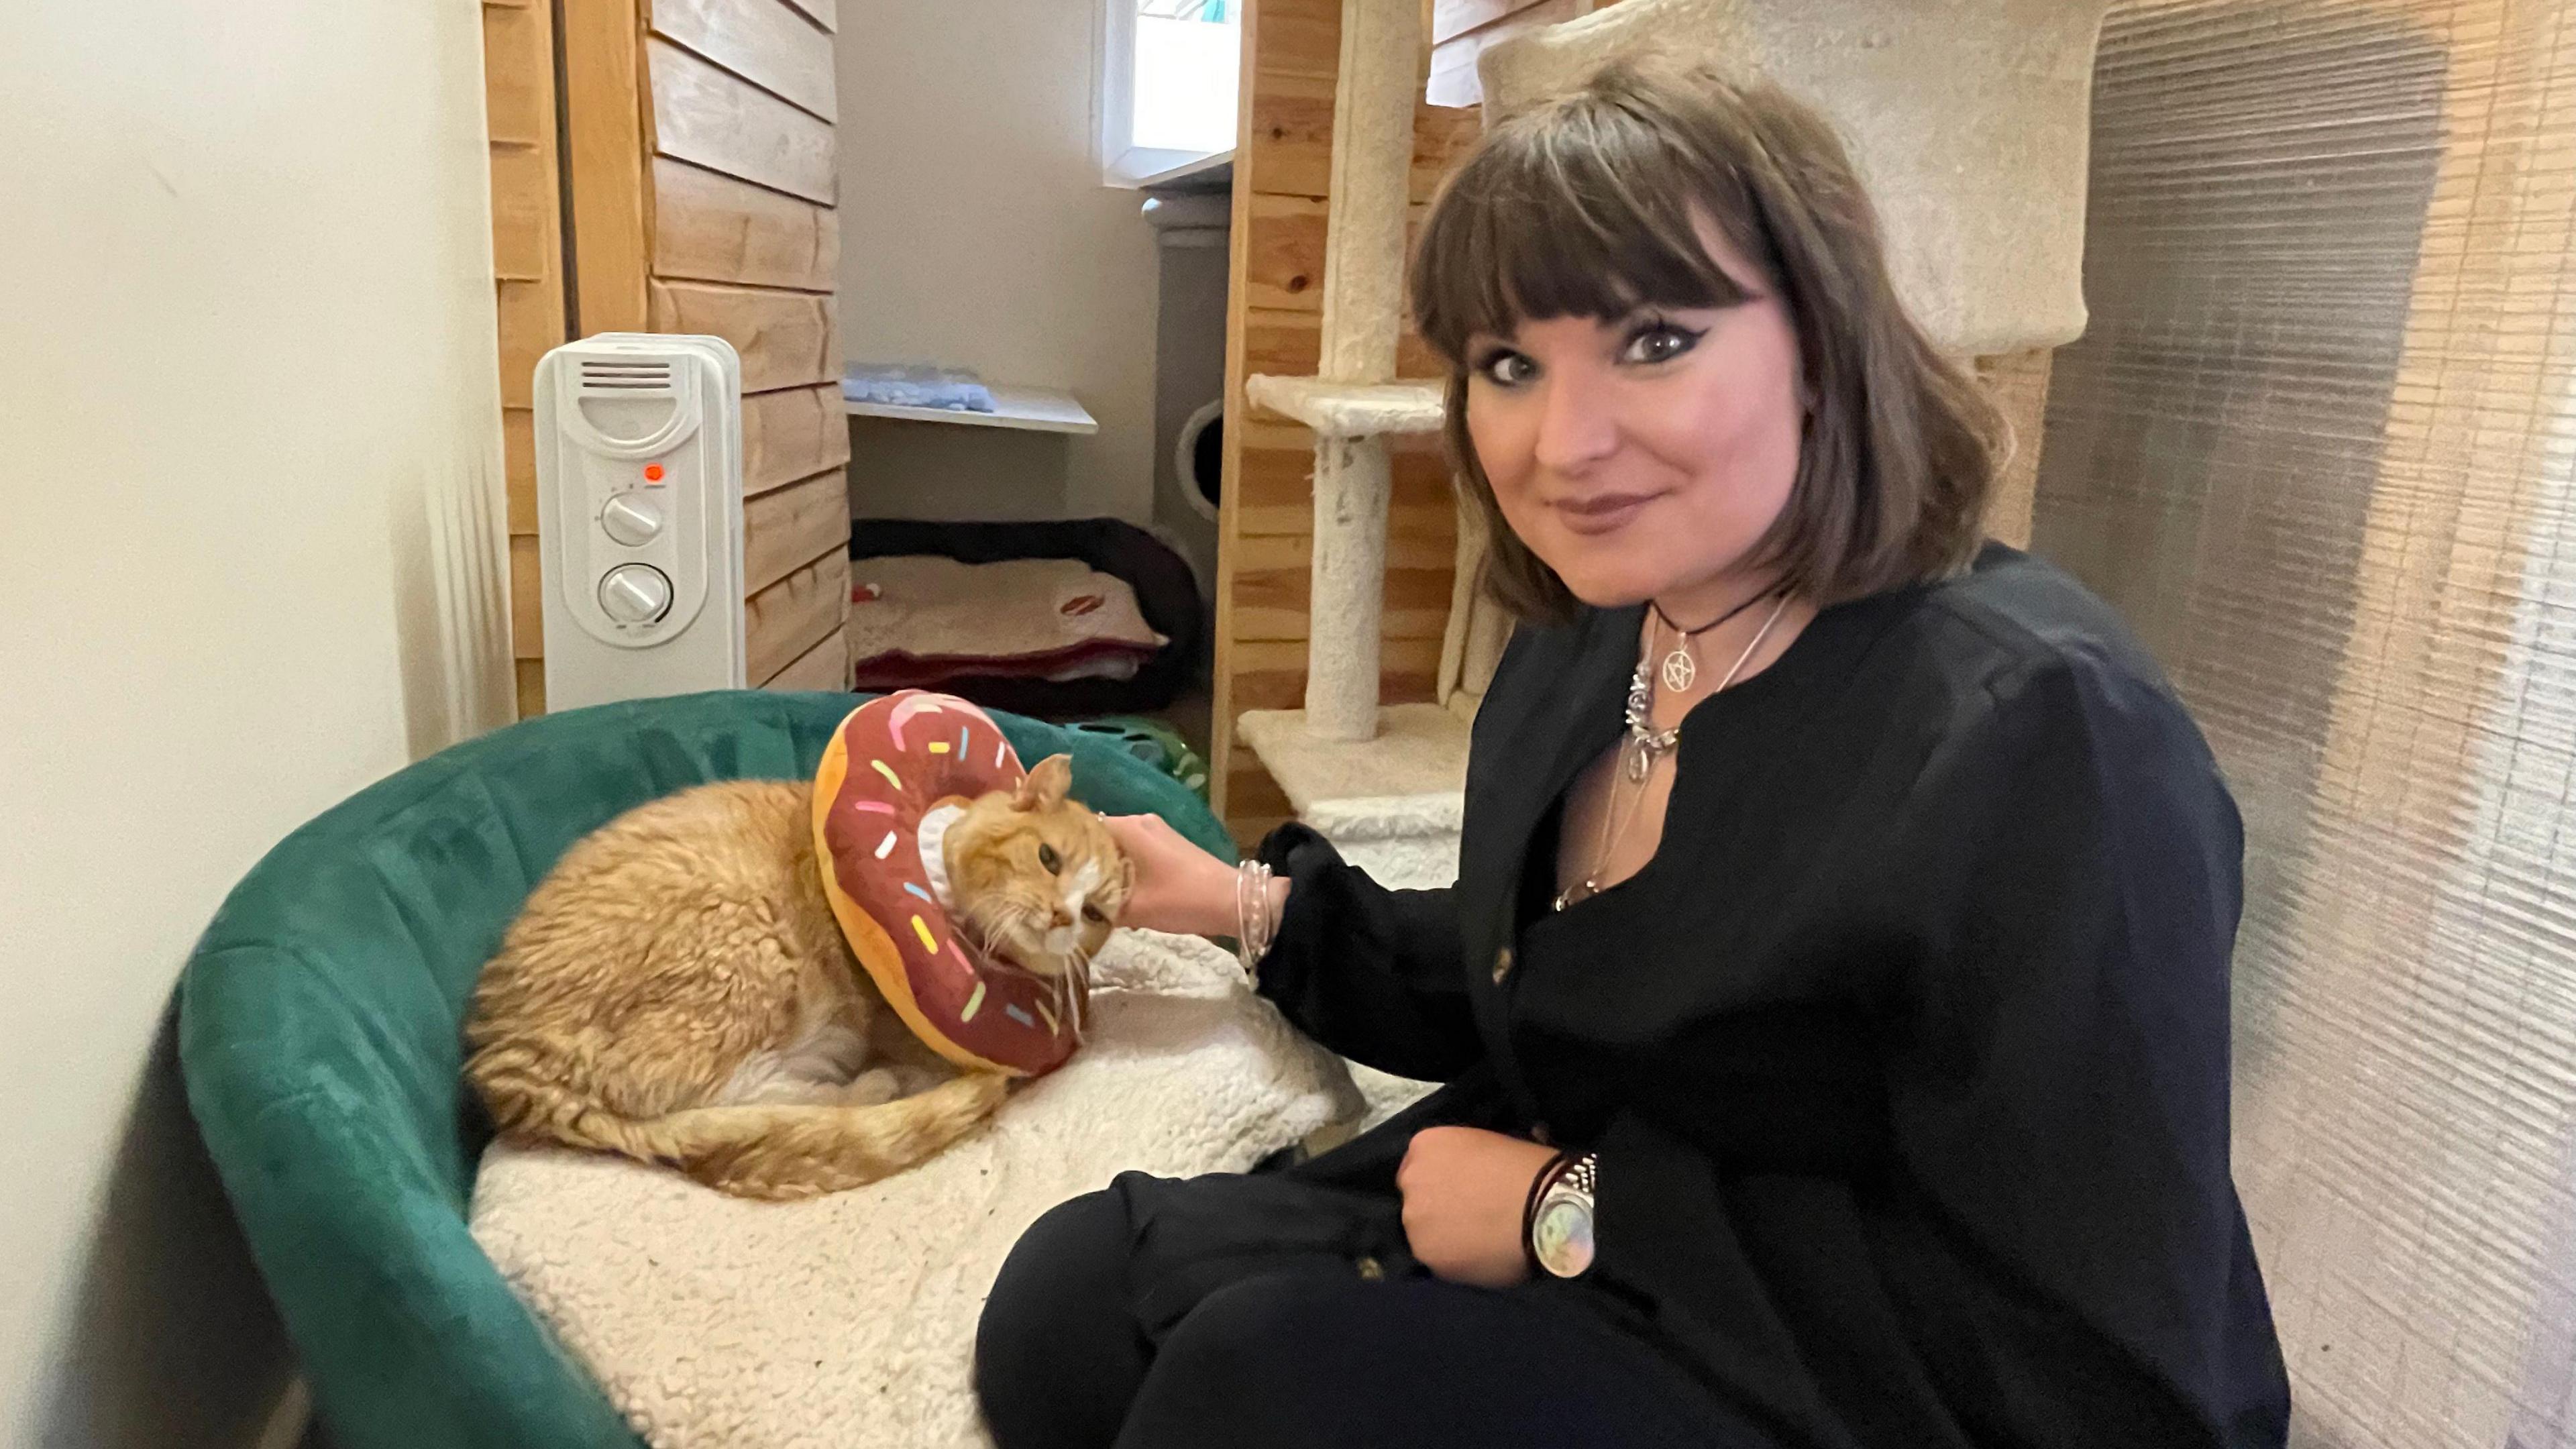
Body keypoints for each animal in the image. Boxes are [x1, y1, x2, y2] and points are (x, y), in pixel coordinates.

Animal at [466, 747, 1128, 1191]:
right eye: (1048, 858)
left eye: (1094, 912)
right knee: (728, 1100)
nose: (1061, 915)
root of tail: (510, 1064)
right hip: (742, 947)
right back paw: (875, 1086)